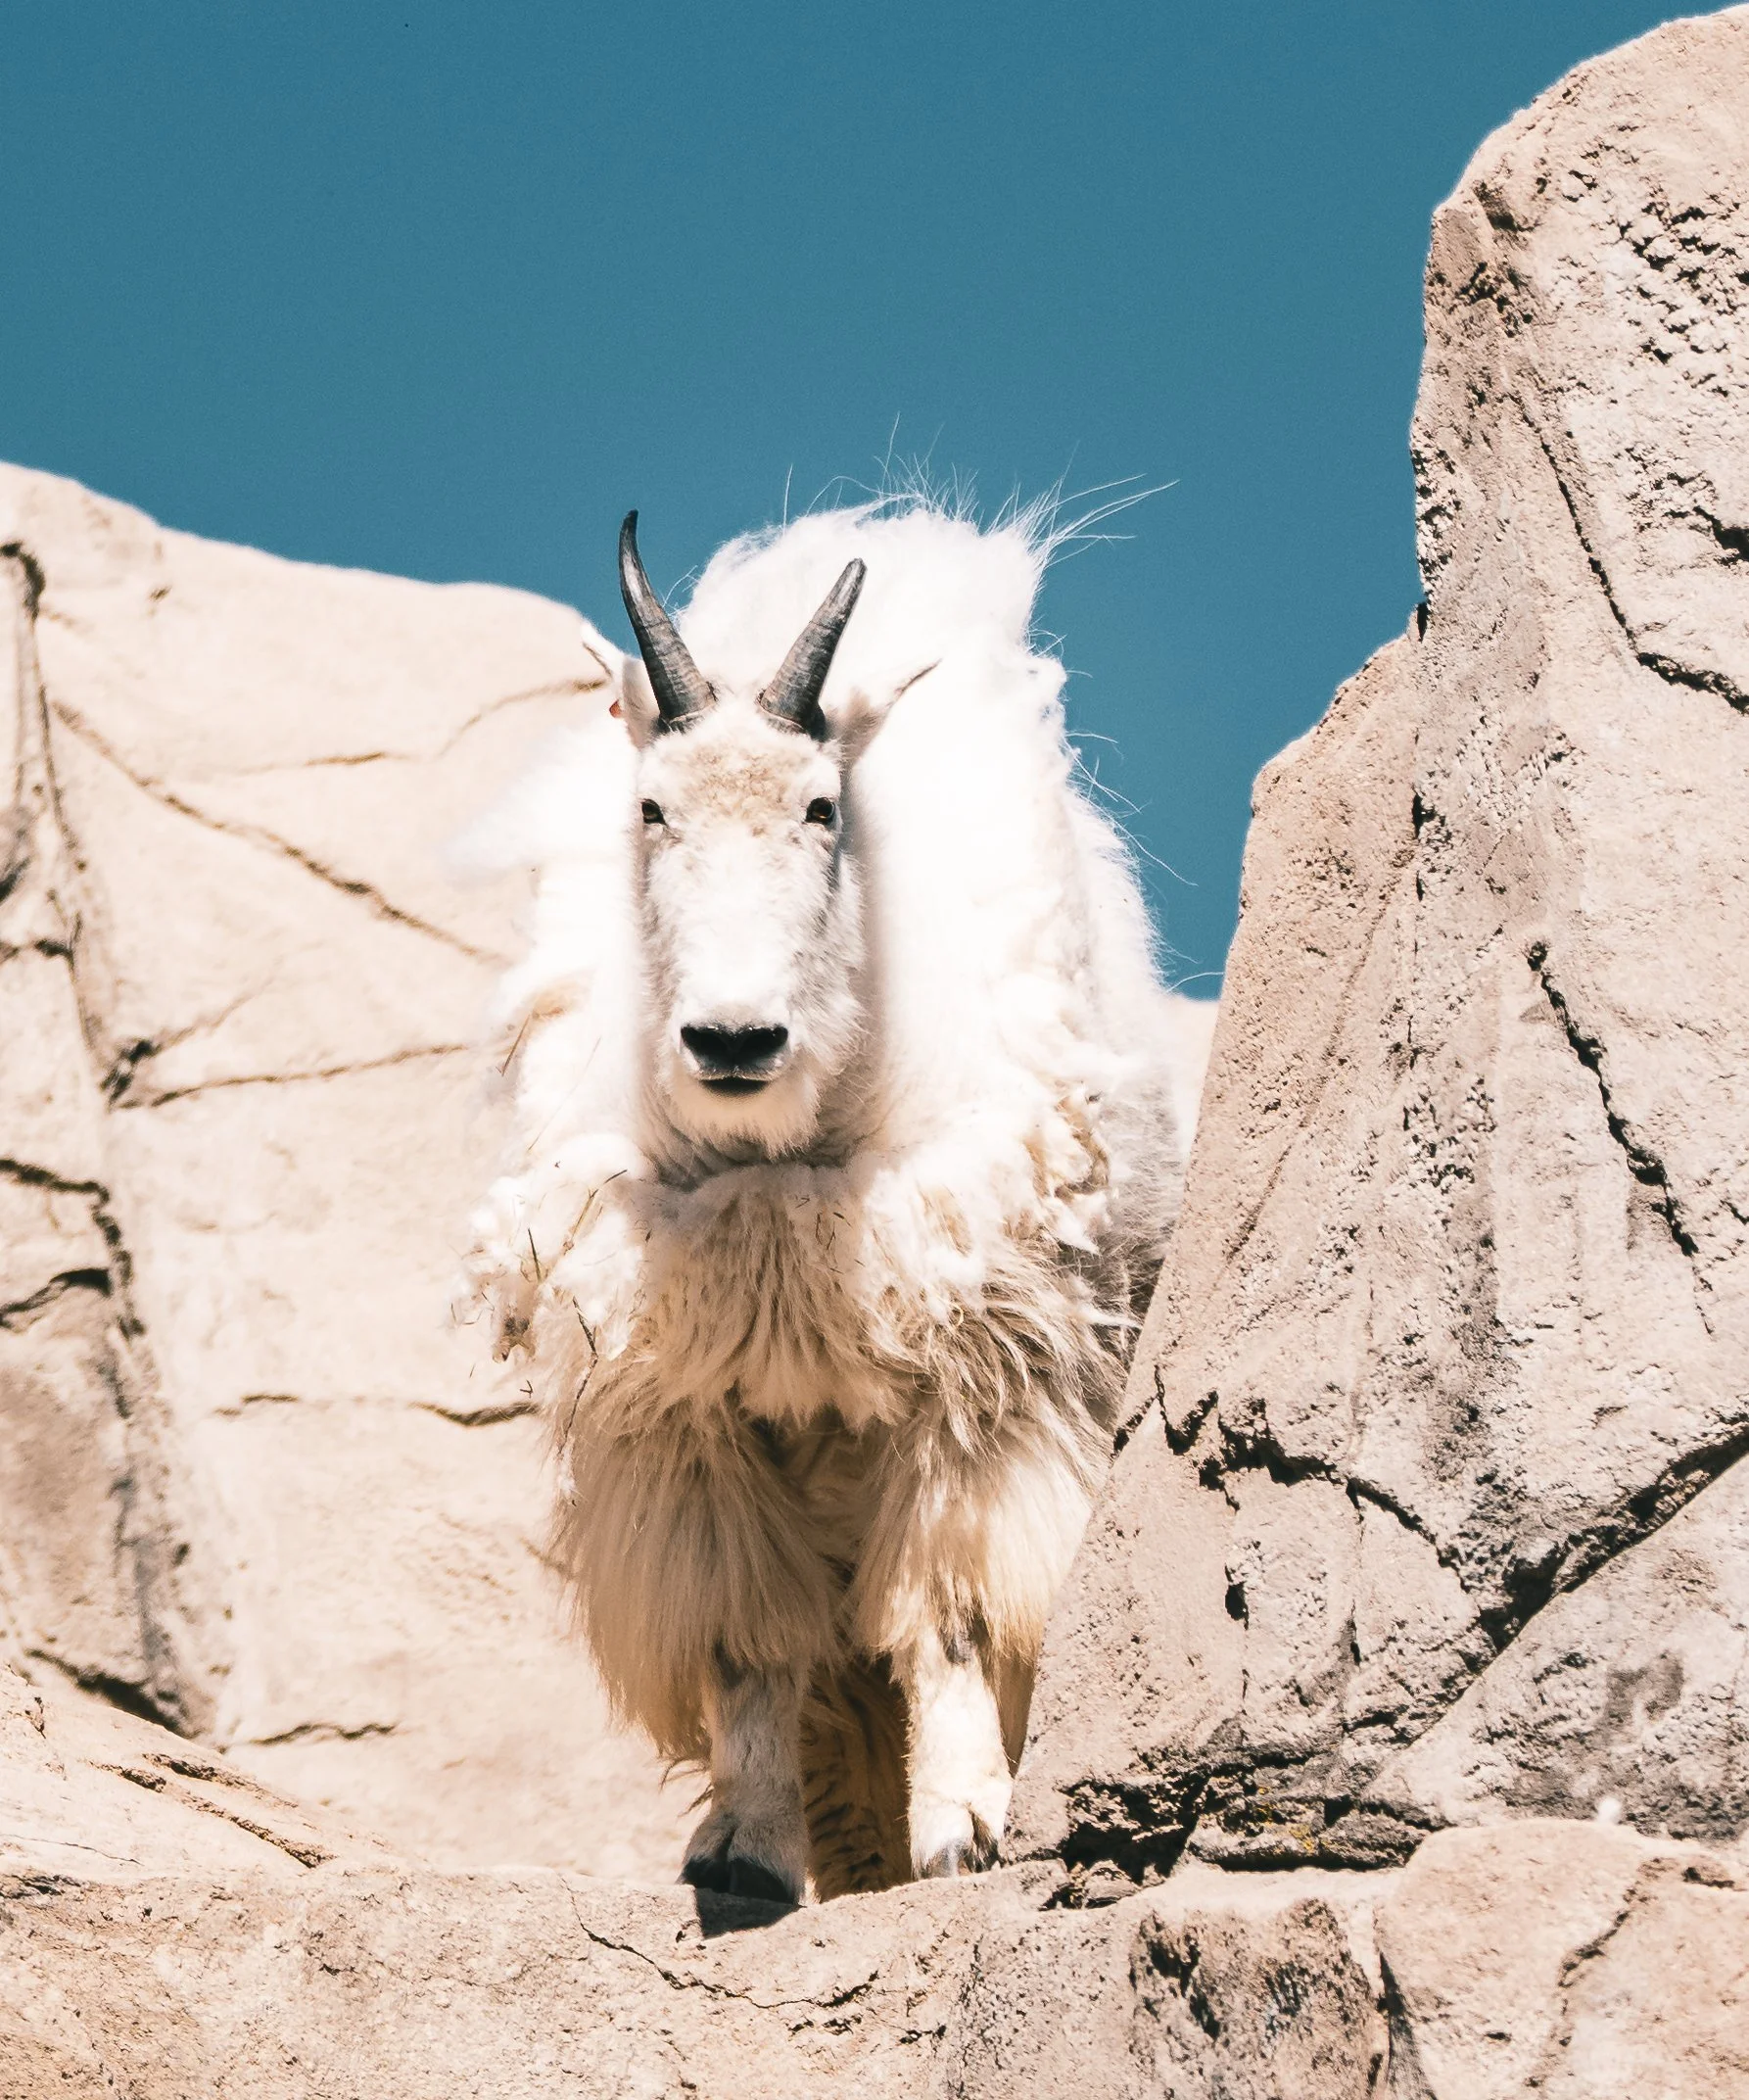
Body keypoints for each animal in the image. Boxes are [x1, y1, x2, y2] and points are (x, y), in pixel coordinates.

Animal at [470, 500, 1209, 1901]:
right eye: (652, 807)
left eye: (821, 806)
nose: (733, 1038)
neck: (790, 1150)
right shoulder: (686, 1398)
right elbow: (748, 1635)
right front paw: (744, 1853)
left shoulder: (978, 1361)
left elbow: (954, 1613)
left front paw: (967, 1824)